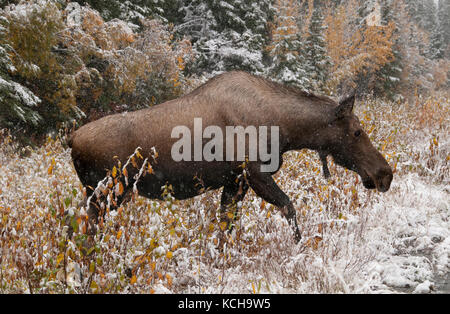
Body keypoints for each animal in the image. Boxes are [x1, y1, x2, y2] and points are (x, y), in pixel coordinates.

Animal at [68, 71, 392, 242]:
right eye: (357, 131)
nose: (385, 174)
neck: (287, 130)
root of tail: (71, 141)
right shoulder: (254, 173)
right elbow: (289, 209)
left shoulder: (235, 181)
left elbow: (226, 227)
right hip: (107, 192)